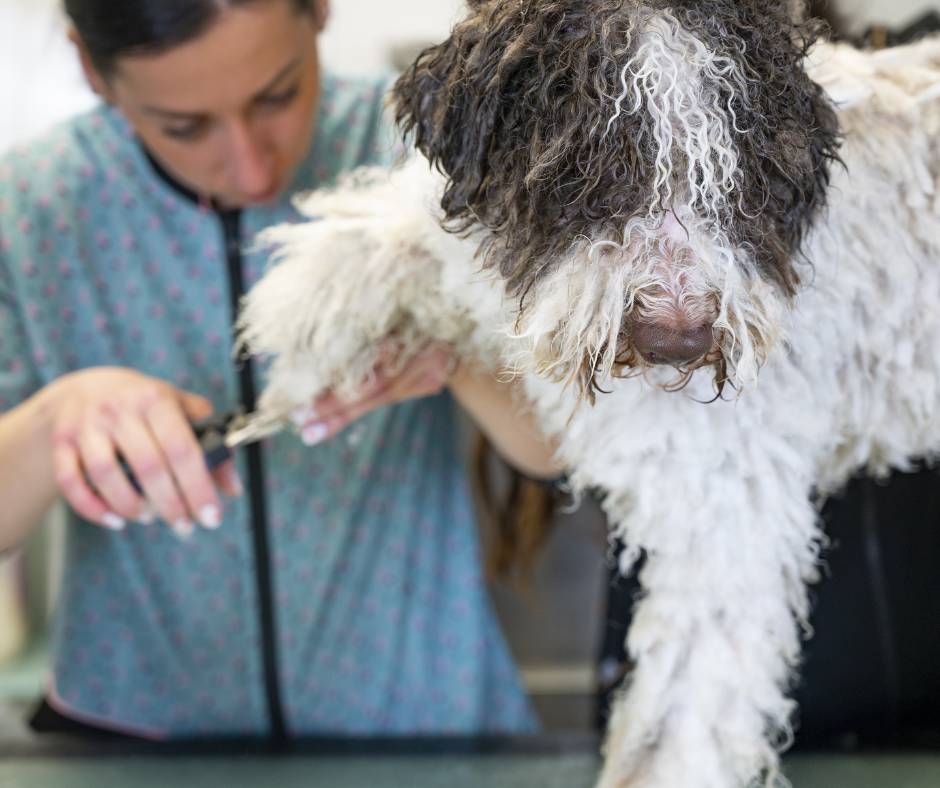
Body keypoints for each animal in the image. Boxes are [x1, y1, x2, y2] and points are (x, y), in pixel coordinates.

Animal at [233, 3, 940, 784]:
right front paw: (312, 306)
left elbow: (691, 692)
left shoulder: (727, 502)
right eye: (586, 164)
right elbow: (416, 243)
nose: (678, 340)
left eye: (745, 177)